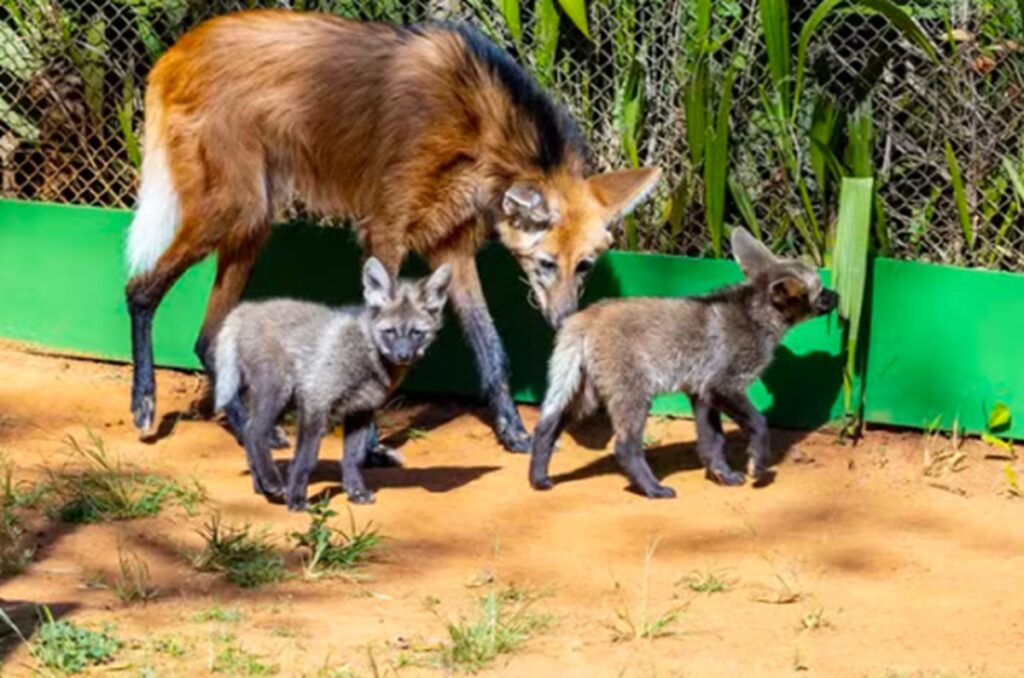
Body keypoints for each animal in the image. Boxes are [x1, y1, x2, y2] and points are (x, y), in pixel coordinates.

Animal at [213, 257, 451, 509]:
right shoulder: (316, 401)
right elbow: (306, 459)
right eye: (390, 332)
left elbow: (353, 459)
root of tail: (246, 308)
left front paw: (356, 493)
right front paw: (296, 500)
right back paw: (272, 482)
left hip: (284, 402)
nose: (403, 356)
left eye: (417, 333)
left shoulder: (361, 410)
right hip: (278, 394)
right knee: (253, 432)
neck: (366, 355)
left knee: (249, 433)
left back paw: (261, 487)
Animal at [529, 228, 839, 498]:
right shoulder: (724, 386)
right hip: (634, 398)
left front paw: (723, 475)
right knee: (625, 448)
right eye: (821, 290)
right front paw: (758, 466)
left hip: (584, 397)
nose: (838, 295)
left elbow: (713, 444)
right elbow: (760, 424)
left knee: (545, 428)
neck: (756, 318)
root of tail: (586, 316)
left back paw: (538, 479)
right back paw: (653, 489)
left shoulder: (702, 394)